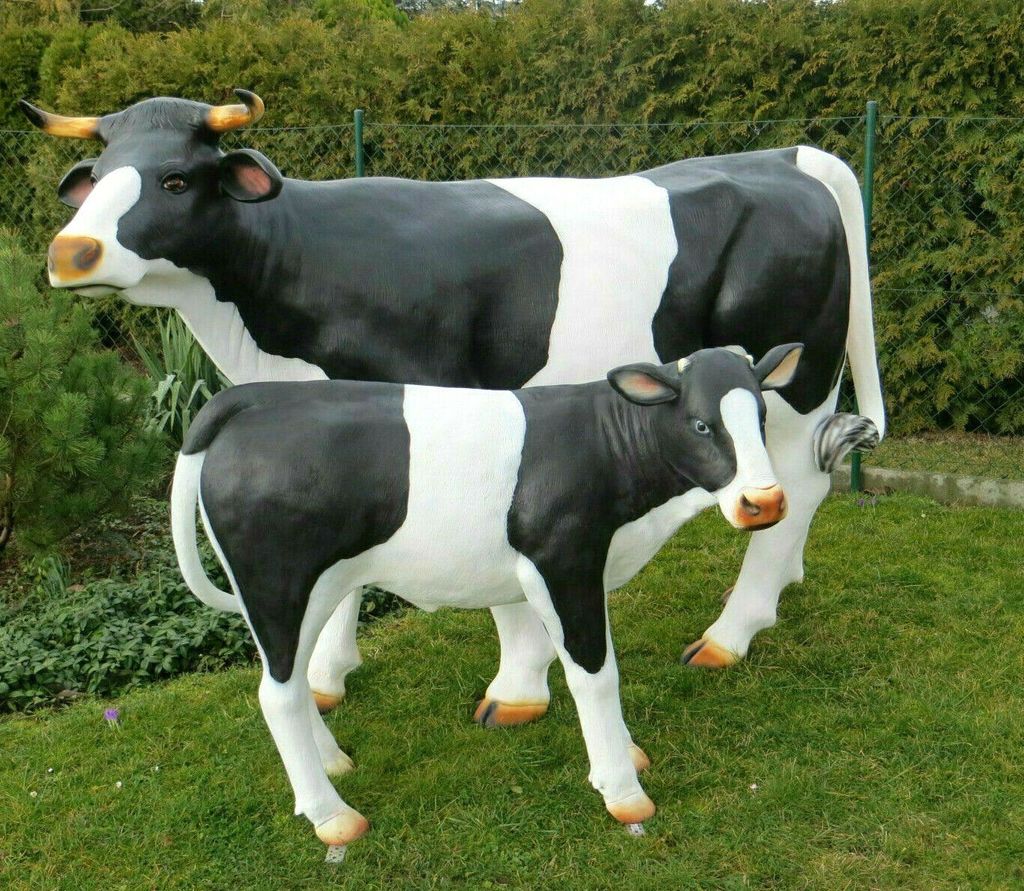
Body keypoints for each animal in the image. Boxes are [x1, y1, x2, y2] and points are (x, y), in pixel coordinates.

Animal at [23, 90, 884, 726]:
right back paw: (777, 587)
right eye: (98, 172)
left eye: (174, 179)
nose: (71, 251)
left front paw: (518, 685)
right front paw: (327, 672)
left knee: (798, 482)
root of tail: (785, 157)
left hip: (795, 379)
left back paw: (731, 632)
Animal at [171, 344, 808, 845]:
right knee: (276, 695)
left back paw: (332, 763)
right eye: (701, 424)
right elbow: (594, 675)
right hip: (278, 584)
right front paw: (622, 789)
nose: (765, 502)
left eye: (761, 415)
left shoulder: (588, 569)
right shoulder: (562, 560)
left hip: (302, 592)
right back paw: (333, 816)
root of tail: (254, 398)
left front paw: (624, 753)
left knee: (293, 679)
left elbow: (598, 659)